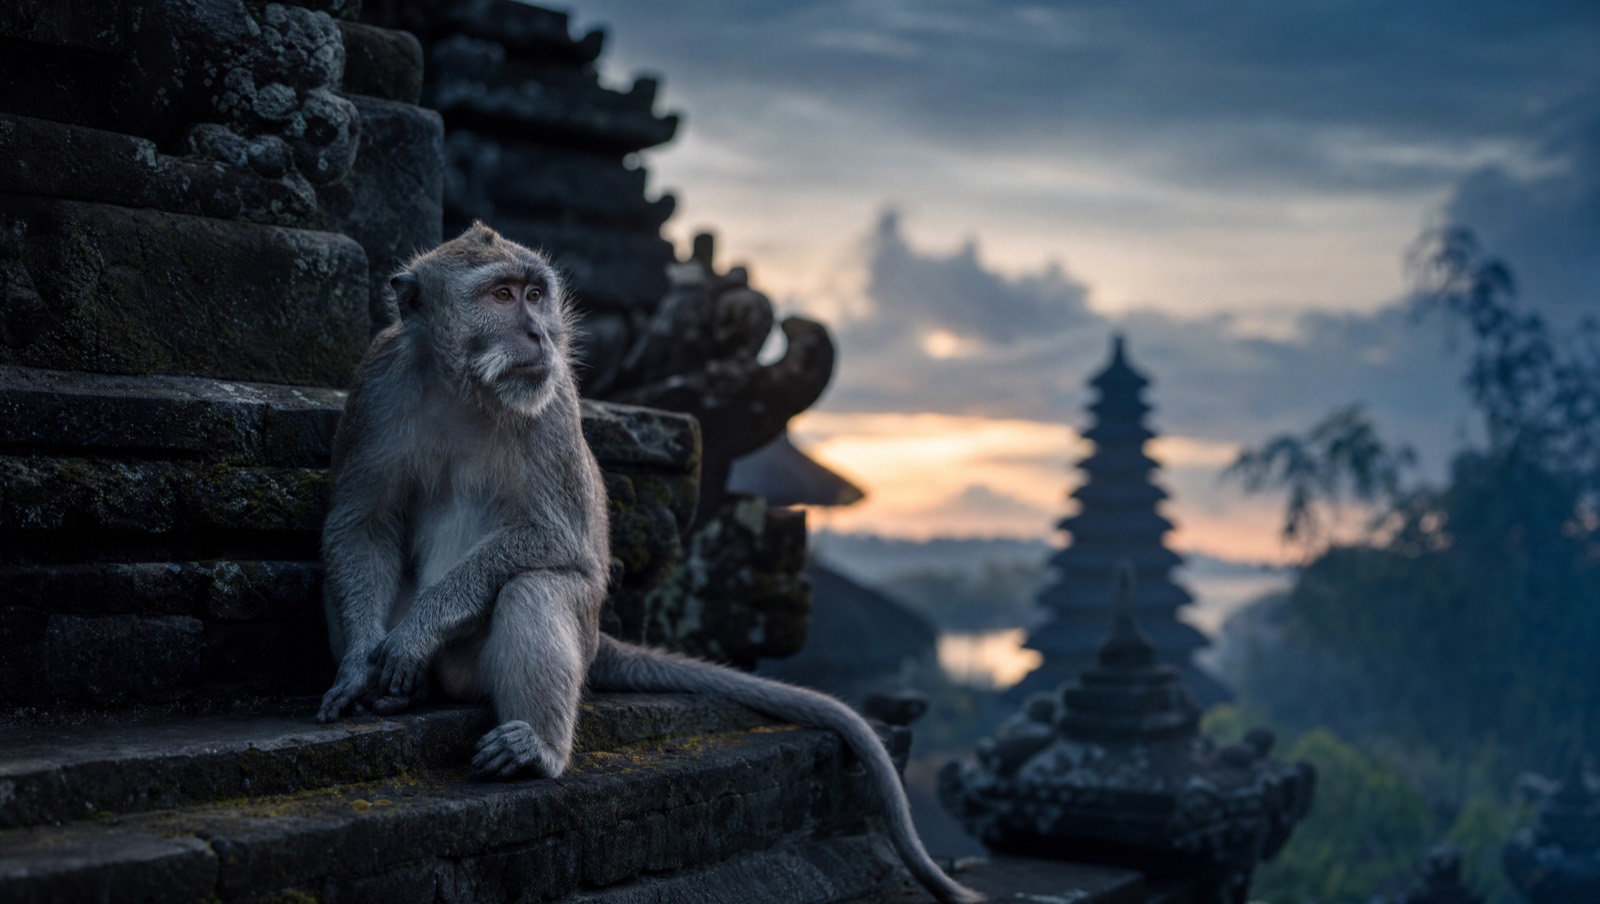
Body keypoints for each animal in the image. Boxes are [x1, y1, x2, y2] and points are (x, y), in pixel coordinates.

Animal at [314, 223, 983, 904]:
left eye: (534, 294)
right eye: (501, 295)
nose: (539, 334)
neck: (463, 386)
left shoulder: (554, 395)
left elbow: (556, 535)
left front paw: (414, 635)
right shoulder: (378, 383)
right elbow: (360, 523)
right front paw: (360, 665)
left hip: (543, 646)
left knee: (535, 588)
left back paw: (538, 749)